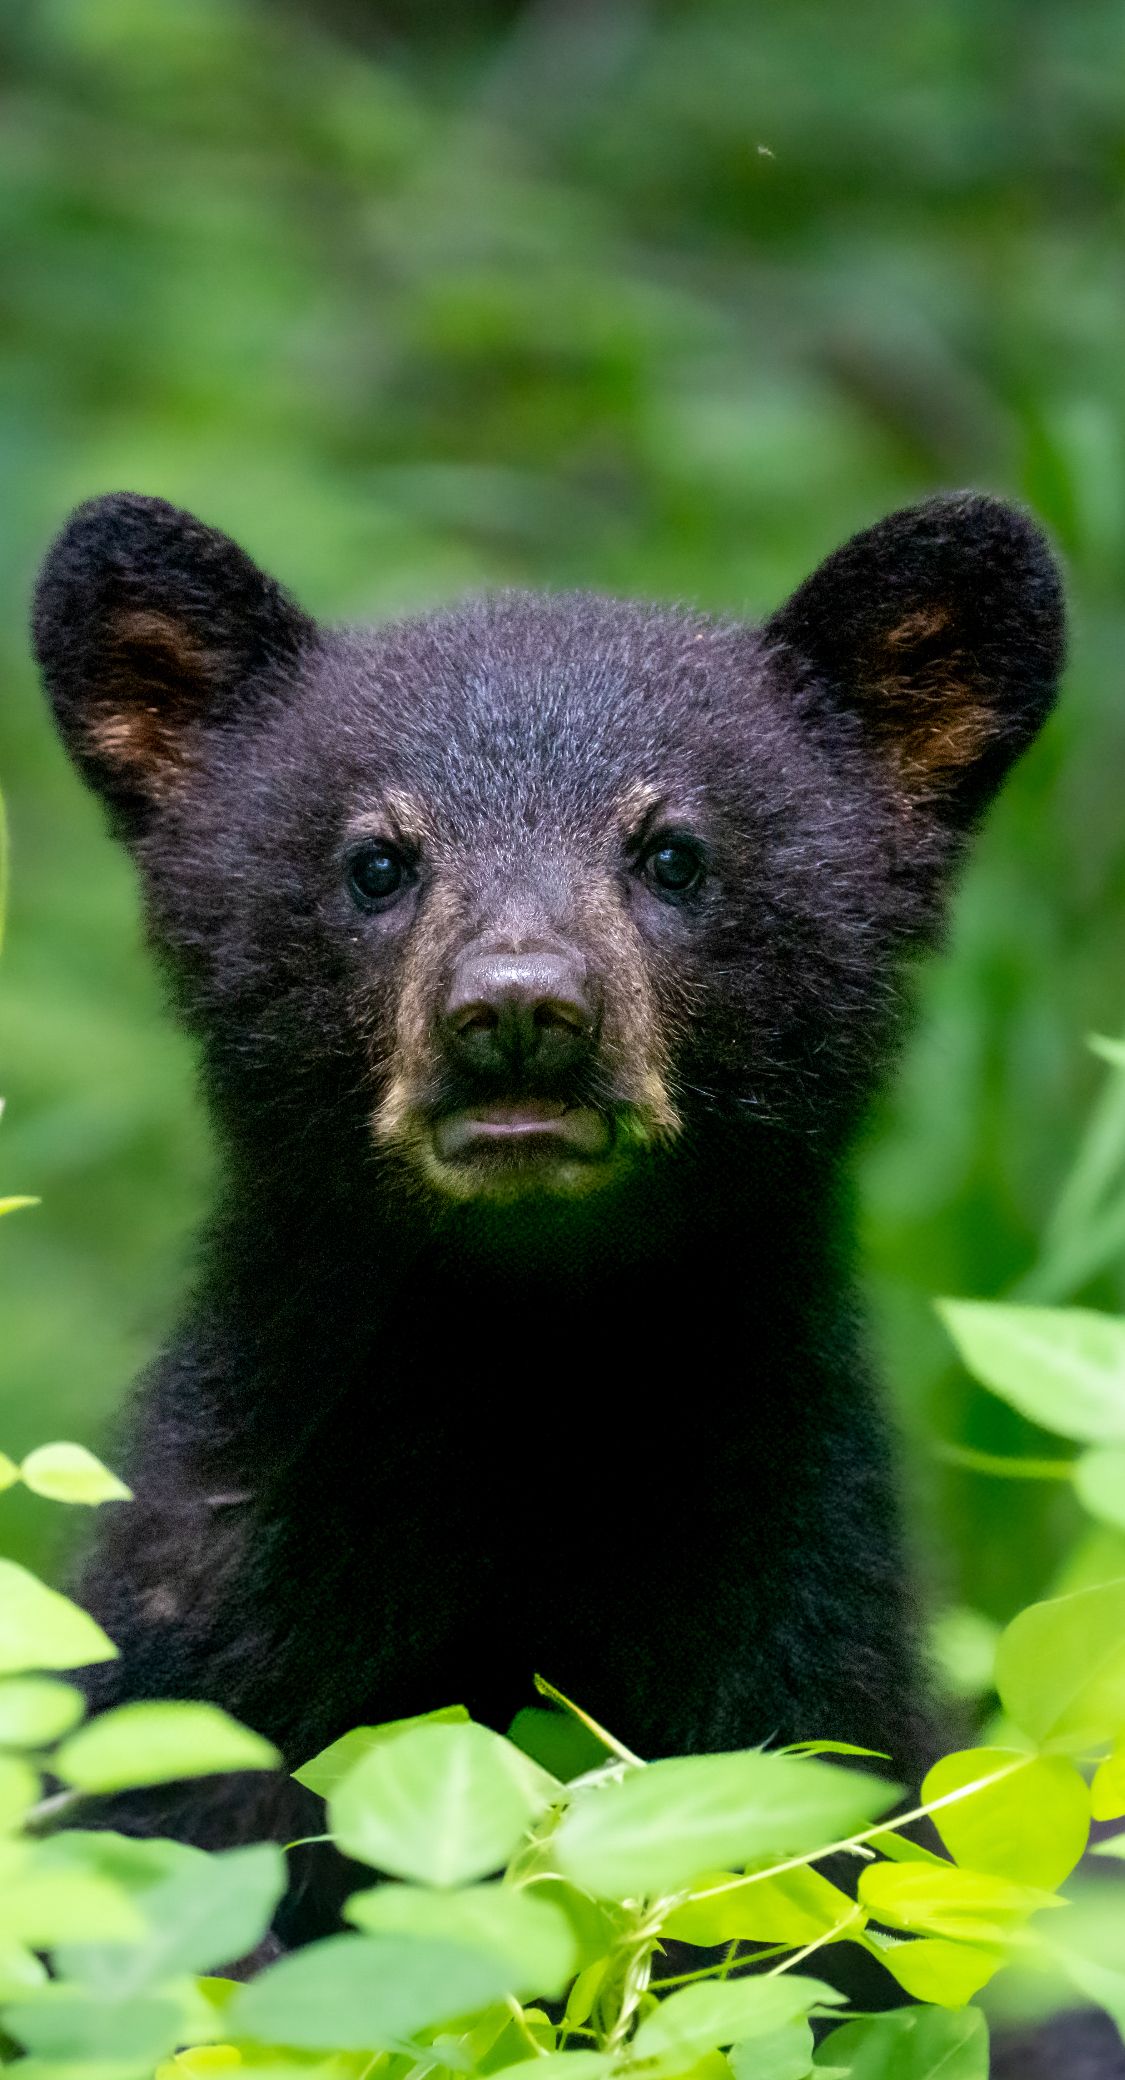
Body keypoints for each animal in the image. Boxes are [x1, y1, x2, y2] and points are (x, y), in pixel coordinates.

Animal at [31, 489, 1063, 1966]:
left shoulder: (792, 1629)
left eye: (674, 852)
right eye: (377, 860)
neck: (524, 1365)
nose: (518, 1006)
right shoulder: (201, 1638)